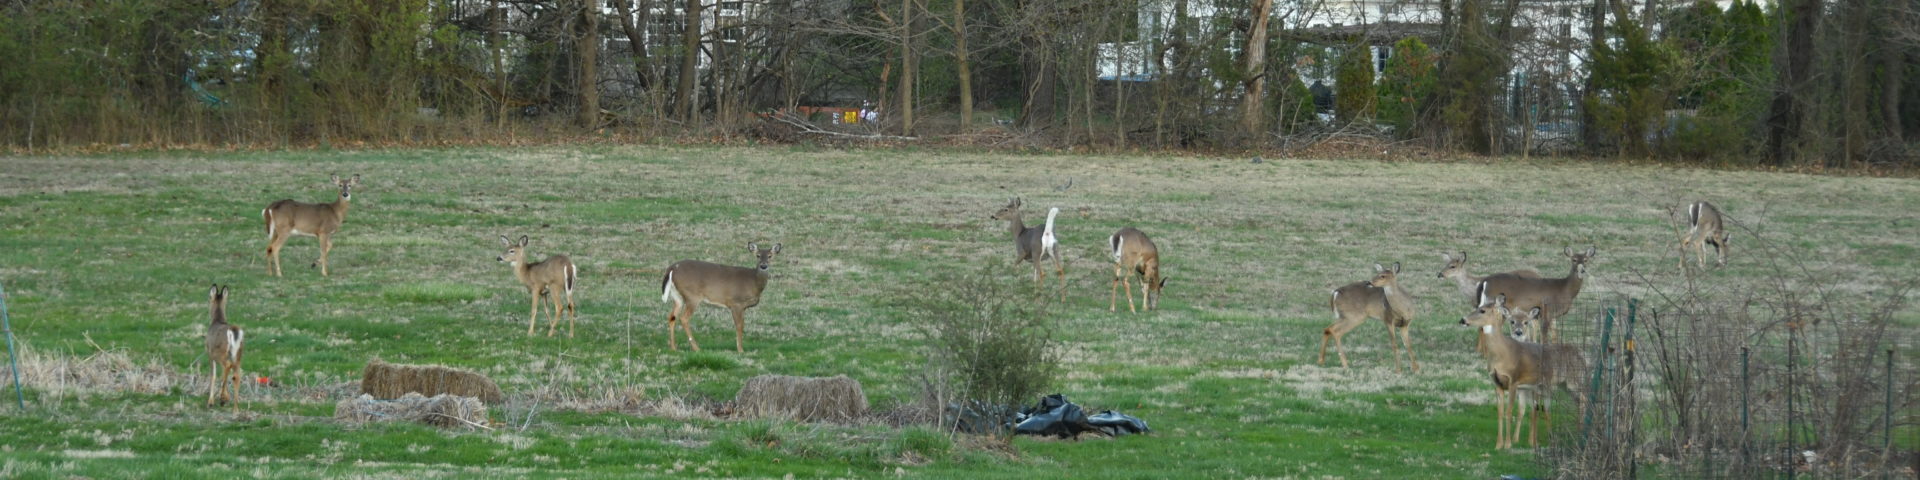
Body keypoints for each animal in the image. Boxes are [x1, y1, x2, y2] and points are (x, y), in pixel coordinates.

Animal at [204, 284, 245, 414]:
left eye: (209, 298)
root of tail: (234, 331)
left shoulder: (209, 354)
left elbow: (213, 375)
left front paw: (210, 401)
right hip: (239, 355)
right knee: (237, 375)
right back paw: (235, 408)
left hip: (220, 353)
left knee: (227, 366)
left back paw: (223, 398)